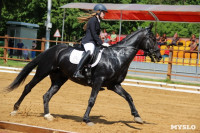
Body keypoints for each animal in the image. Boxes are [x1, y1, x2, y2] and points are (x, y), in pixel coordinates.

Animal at [7, 23, 162, 125]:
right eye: (153, 39)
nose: (159, 56)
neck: (117, 56)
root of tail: (52, 49)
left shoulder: (114, 85)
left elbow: (129, 97)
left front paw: (137, 117)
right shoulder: (98, 81)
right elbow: (92, 100)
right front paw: (87, 119)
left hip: (59, 79)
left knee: (47, 95)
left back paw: (48, 116)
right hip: (42, 72)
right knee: (28, 87)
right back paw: (15, 109)